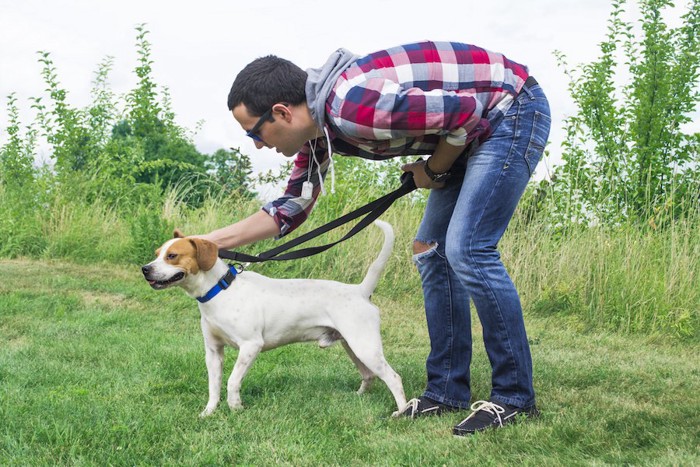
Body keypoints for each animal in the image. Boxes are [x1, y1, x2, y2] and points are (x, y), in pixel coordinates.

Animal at [140, 221, 408, 418]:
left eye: (172, 255)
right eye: (157, 254)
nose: (145, 269)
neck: (220, 290)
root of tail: (361, 290)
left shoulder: (250, 346)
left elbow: (232, 381)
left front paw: (236, 408)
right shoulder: (213, 351)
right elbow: (214, 386)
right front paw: (209, 412)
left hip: (365, 347)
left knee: (393, 378)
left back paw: (402, 412)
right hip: (352, 347)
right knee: (369, 375)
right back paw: (359, 398)